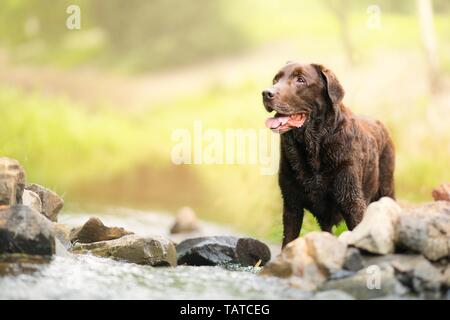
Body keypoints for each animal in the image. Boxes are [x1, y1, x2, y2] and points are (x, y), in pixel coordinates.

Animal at [262, 62, 396, 248]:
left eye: (300, 80)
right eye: (275, 79)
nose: (266, 93)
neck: (312, 147)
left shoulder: (352, 202)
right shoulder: (291, 205)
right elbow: (288, 241)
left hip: (385, 188)